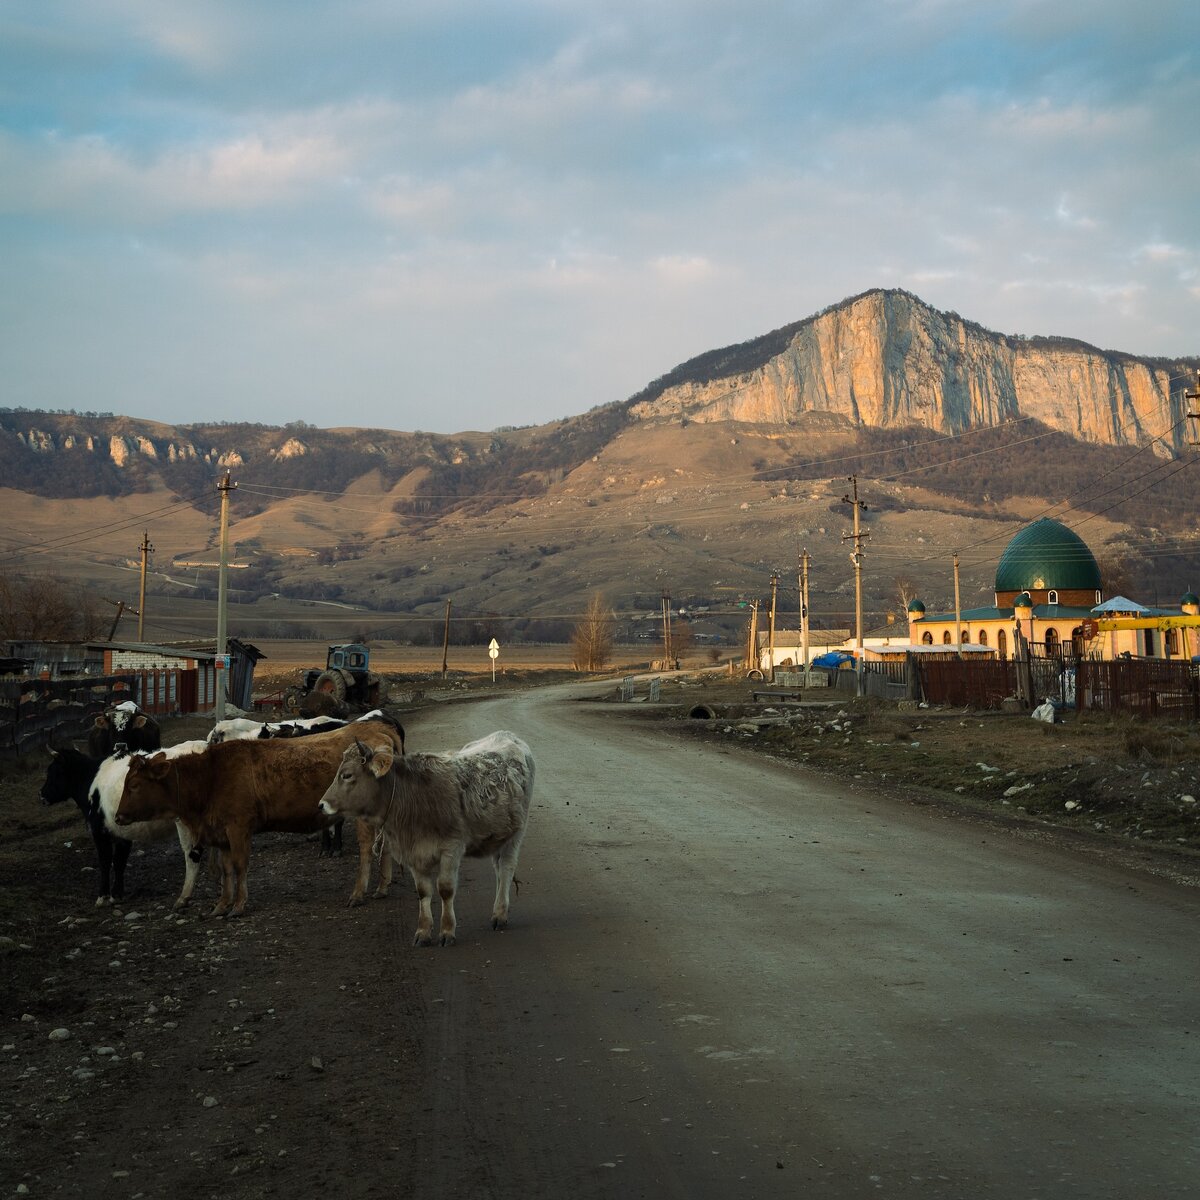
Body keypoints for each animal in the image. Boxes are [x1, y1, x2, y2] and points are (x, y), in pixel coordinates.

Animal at [117, 720, 408, 916]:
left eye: (134, 785)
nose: (118, 816)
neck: (211, 776)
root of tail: (379, 728)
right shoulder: (221, 833)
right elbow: (226, 869)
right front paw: (221, 905)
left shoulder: (238, 827)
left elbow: (240, 865)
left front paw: (238, 905)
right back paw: (382, 887)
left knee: (366, 849)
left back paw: (358, 893)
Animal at [316, 729, 532, 945]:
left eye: (347, 775)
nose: (321, 805)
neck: (413, 798)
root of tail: (506, 735)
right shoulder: (413, 852)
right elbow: (423, 891)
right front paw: (423, 931)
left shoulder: (451, 848)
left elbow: (445, 889)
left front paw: (447, 931)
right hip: (499, 835)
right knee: (498, 870)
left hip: (517, 833)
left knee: (506, 868)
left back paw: (500, 915)